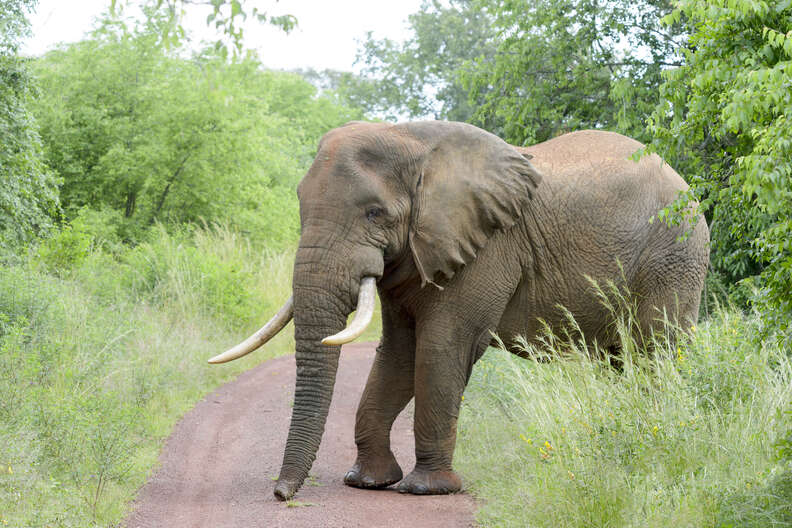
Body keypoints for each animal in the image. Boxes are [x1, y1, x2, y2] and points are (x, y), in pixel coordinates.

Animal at [208, 120, 710, 501]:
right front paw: (367, 482)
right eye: (300, 207)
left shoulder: (488, 247)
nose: (280, 493)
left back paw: (656, 434)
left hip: (675, 255)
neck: (411, 141)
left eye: (374, 213)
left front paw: (426, 489)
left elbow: (442, 349)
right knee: (621, 359)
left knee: (653, 352)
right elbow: (398, 354)